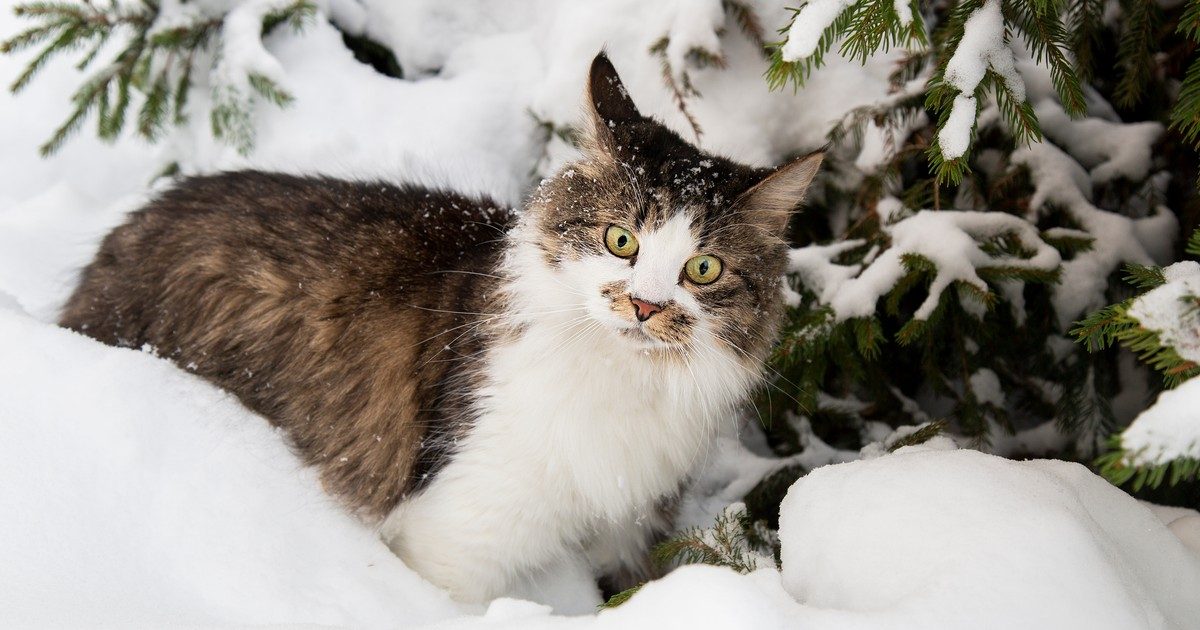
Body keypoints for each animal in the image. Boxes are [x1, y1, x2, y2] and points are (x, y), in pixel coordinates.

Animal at [60, 52, 820, 600]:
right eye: (620, 241)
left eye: (703, 270)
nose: (645, 307)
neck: (623, 384)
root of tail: (126, 231)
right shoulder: (457, 534)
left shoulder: (634, 529)